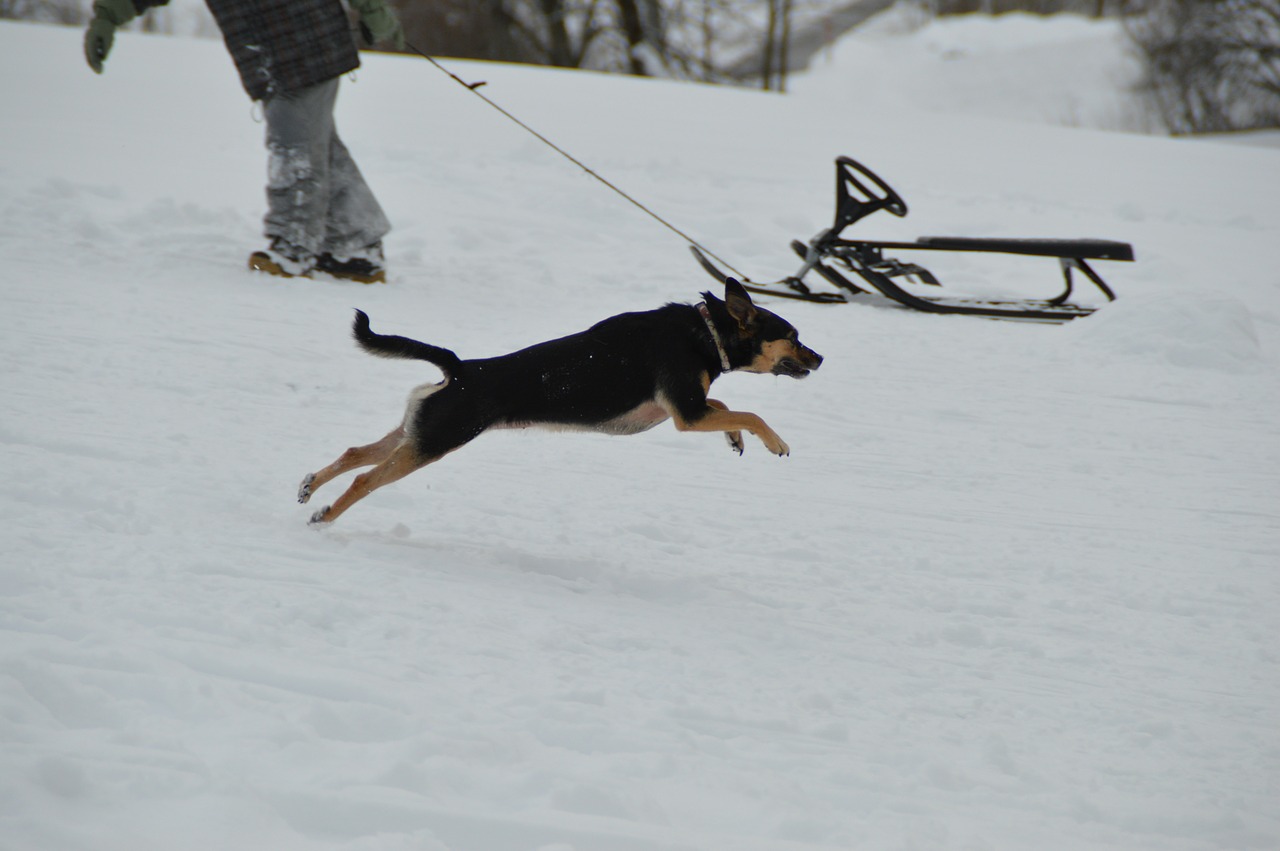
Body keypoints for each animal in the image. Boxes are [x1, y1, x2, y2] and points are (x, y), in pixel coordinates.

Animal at [296, 277, 819, 524]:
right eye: (793, 337)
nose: (820, 358)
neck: (705, 333)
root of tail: (461, 368)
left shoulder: (689, 409)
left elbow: (728, 409)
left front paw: (735, 438)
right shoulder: (686, 414)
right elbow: (749, 411)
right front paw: (775, 441)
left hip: (418, 430)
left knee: (354, 453)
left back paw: (309, 487)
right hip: (435, 441)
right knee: (364, 478)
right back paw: (324, 517)